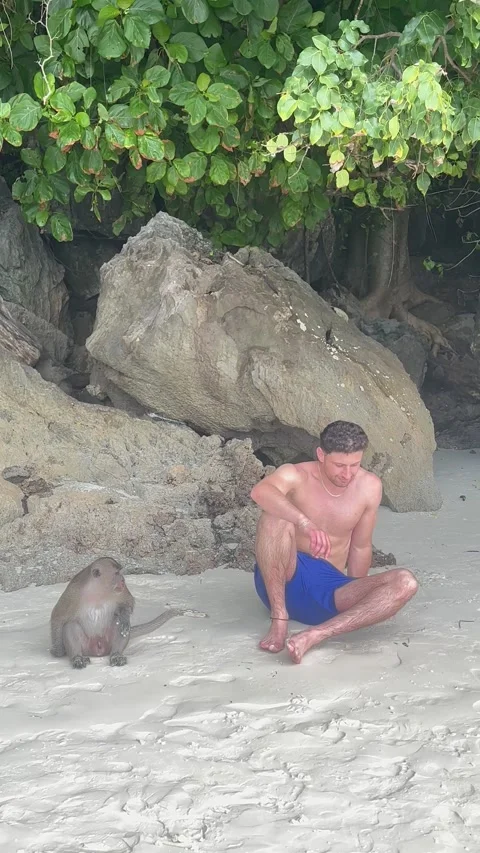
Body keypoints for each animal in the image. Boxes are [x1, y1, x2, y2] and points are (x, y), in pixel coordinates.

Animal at [50, 557, 206, 668]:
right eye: (117, 573)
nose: (123, 580)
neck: (99, 591)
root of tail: (98, 651)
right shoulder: (73, 593)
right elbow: (58, 617)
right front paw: (58, 651)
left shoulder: (121, 591)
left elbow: (127, 604)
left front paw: (124, 617)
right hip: (87, 646)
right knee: (71, 625)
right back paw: (77, 658)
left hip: (107, 643)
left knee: (117, 623)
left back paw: (116, 655)